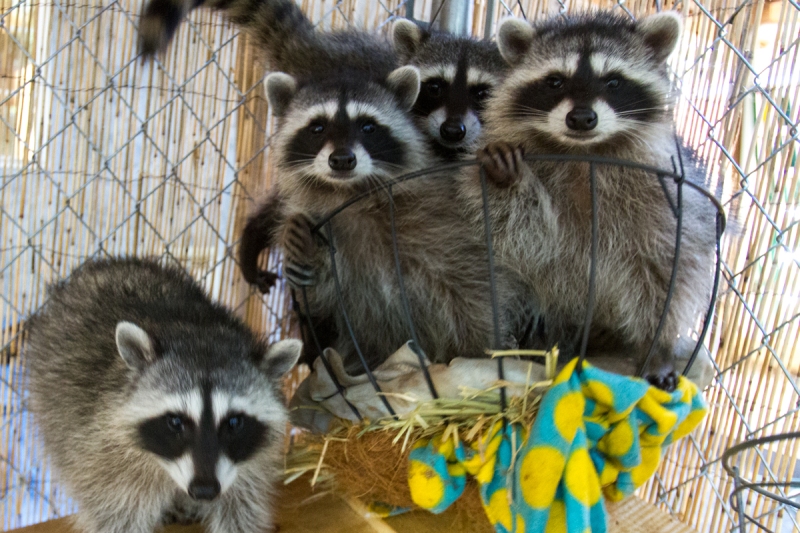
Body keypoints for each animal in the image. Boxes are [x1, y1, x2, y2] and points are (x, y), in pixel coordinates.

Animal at [26, 258, 302, 533]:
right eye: (175, 421)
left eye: (234, 422)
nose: (204, 491)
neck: (200, 332)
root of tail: (109, 264)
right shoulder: (101, 449)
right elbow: (117, 513)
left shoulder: (248, 463)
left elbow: (241, 507)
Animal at [461, 12, 718, 389]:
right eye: (555, 81)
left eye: (613, 81)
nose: (581, 118)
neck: (584, 153)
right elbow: (533, 240)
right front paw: (509, 178)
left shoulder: (668, 198)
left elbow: (668, 269)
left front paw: (657, 344)